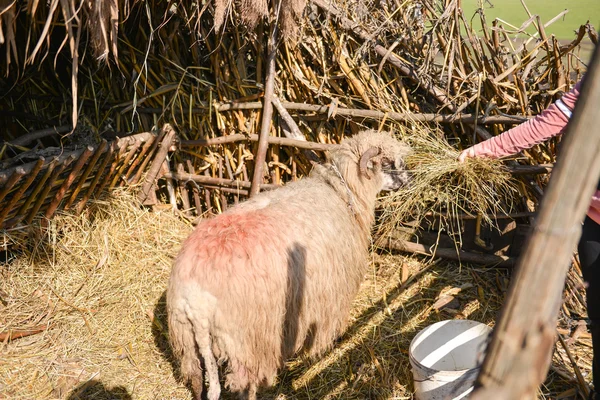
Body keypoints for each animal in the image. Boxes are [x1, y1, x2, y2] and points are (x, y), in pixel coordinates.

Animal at [168, 130, 412, 398]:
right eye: (387, 163)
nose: (410, 179)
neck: (340, 191)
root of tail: (194, 302)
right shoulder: (330, 294)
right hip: (247, 341)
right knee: (245, 383)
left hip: (187, 343)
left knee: (197, 380)